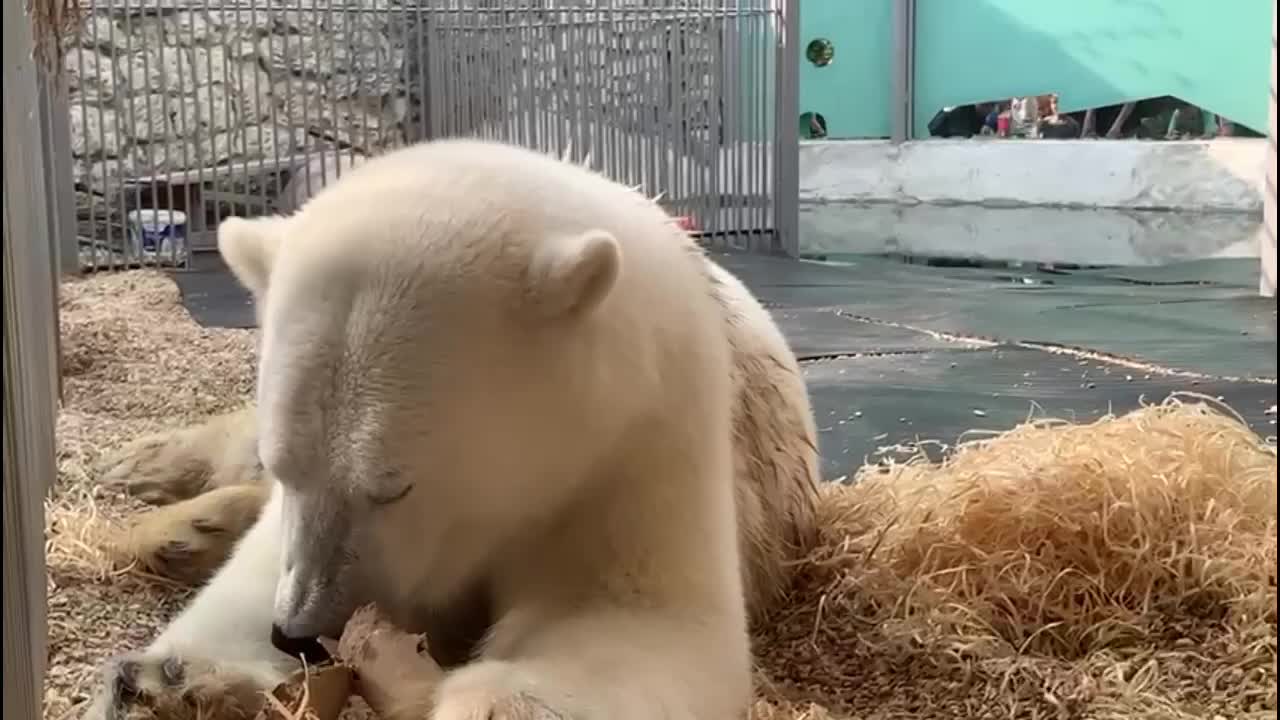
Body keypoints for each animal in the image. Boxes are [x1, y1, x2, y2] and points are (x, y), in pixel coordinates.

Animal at [85, 139, 819, 717]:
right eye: (287, 465)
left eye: (393, 487)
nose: (297, 630)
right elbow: (259, 561)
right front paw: (163, 678)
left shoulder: (639, 443)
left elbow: (638, 615)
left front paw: (492, 698)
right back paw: (158, 489)